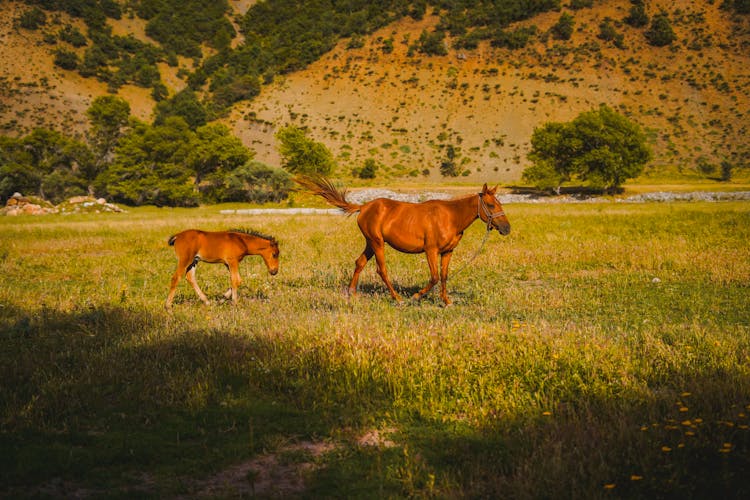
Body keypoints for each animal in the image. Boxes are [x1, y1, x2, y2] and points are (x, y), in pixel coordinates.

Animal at [294, 178, 512, 306]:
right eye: (491, 205)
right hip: (377, 243)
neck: (451, 217)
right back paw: (397, 298)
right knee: (381, 270)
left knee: (360, 263)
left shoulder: (447, 252)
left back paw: (352, 293)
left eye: (500, 203)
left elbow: (443, 276)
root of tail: (363, 207)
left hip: (370, 243)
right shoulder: (430, 250)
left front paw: (447, 301)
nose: (506, 228)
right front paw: (416, 296)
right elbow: (434, 277)